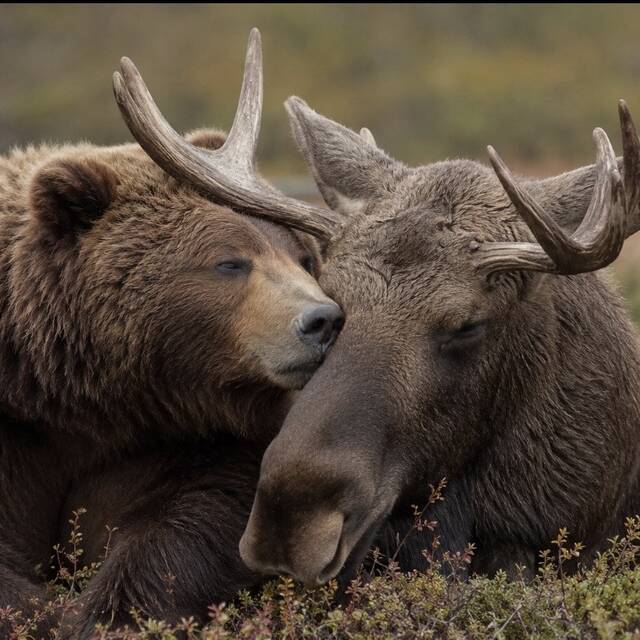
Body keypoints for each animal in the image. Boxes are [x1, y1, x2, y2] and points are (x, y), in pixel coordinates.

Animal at [0, 124, 343, 638]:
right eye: (230, 262)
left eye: (304, 257)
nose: (323, 320)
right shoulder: (20, 434)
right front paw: (51, 615)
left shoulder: (184, 439)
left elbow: (195, 521)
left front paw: (111, 615)